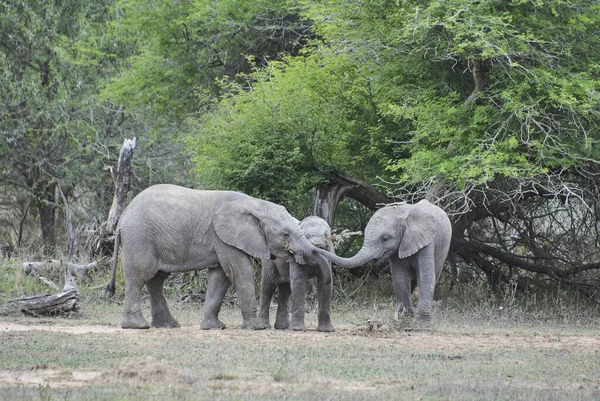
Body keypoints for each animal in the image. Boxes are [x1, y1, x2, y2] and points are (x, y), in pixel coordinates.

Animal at [105, 184, 326, 328]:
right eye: (286, 234)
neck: (254, 205)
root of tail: (122, 218)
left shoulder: (223, 240)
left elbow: (220, 276)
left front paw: (214, 327)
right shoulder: (224, 238)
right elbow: (239, 271)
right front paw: (256, 327)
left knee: (156, 279)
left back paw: (168, 325)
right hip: (139, 237)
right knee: (140, 275)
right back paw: (137, 326)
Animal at [314, 199, 450, 322]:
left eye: (385, 238)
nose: (317, 245)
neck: (403, 214)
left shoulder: (427, 241)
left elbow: (426, 276)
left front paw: (423, 323)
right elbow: (400, 278)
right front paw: (406, 319)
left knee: (433, 276)